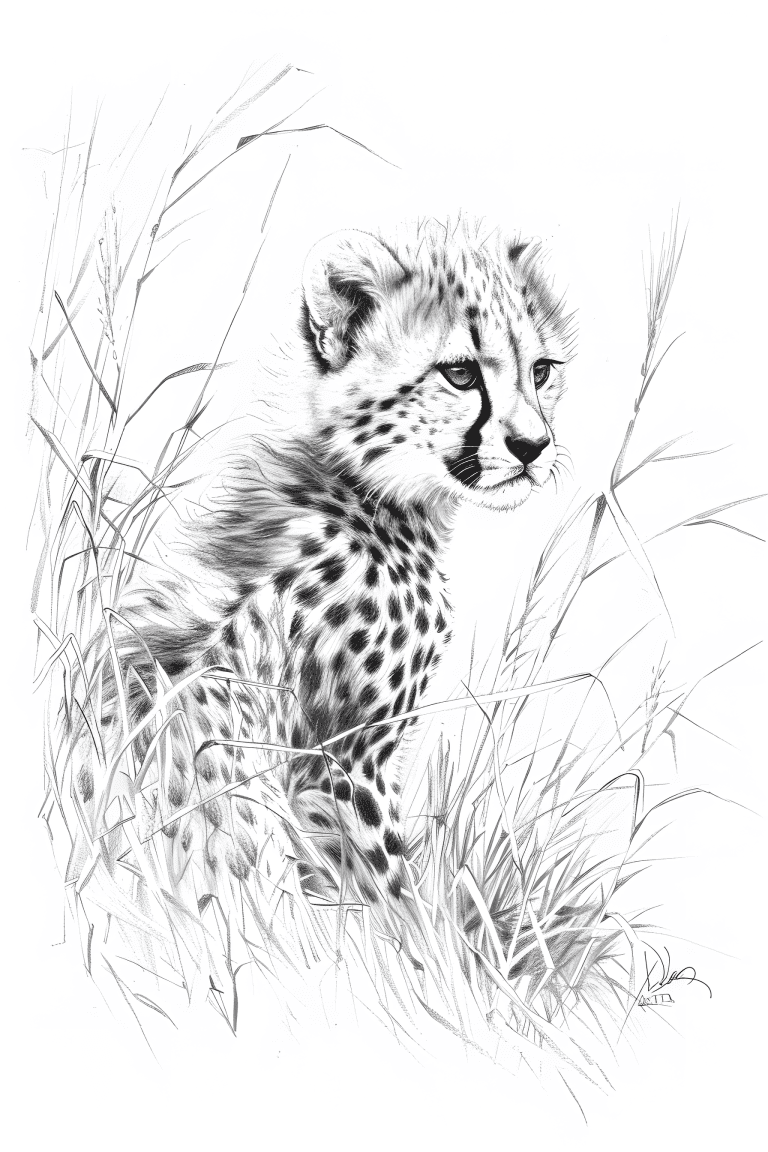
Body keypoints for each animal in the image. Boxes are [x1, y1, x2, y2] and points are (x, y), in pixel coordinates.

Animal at [100, 216, 574, 918]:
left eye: (541, 371)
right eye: (461, 374)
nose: (533, 447)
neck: (361, 487)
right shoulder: (342, 766)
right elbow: (394, 903)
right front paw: (433, 947)